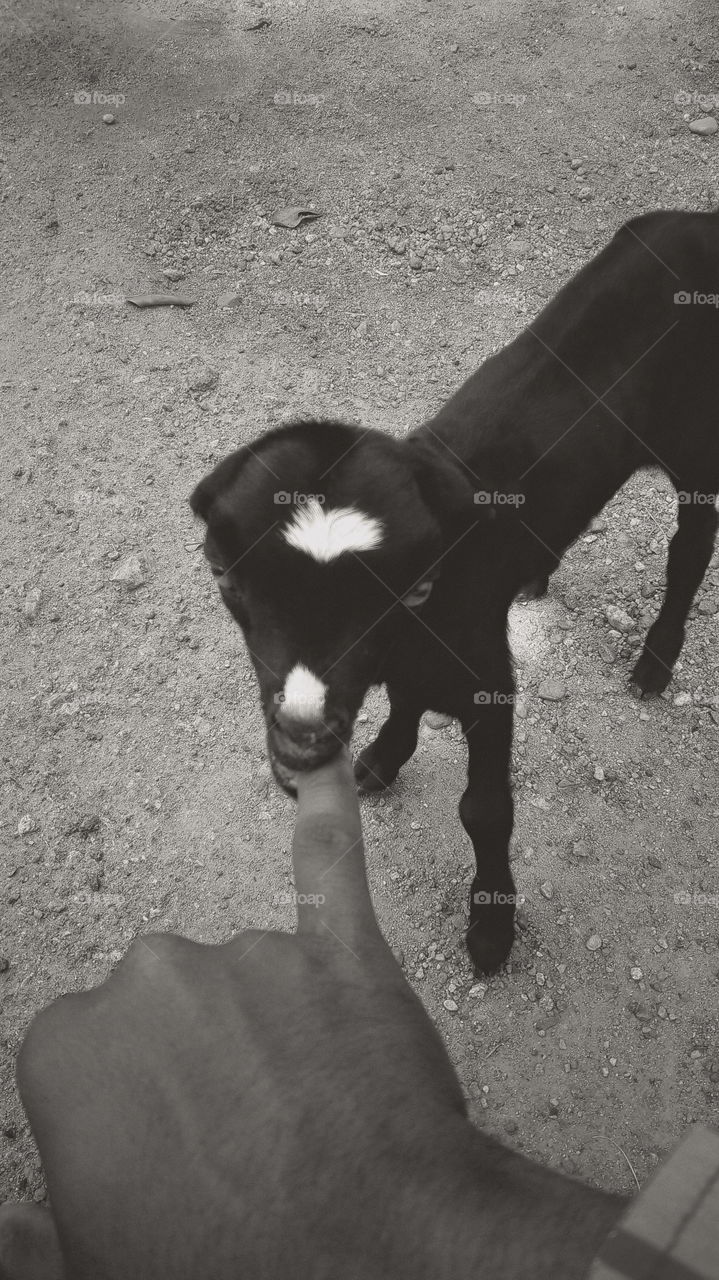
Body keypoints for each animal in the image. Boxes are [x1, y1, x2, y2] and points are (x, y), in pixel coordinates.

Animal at [191, 210, 719, 974]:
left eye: (414, 589)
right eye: (221, 573)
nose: (301, 737)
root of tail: (694, 219)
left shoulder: (487, 675)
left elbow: (484, 808)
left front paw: (492, 925)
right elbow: (407, 701)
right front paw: (384, 756)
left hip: (695, 440)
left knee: (691, 545)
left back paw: (656, 659)